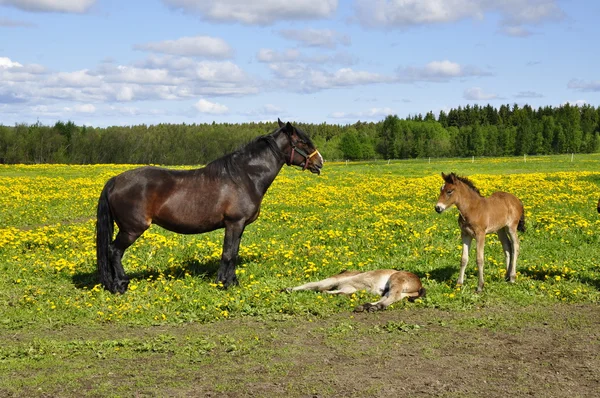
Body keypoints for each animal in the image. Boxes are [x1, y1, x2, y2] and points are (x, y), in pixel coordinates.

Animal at [97, 118, 324, 292]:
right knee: (114, 251)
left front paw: (231, 281)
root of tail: (115, 180)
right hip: (132, 229)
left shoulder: (238, 226)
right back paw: (120, 285)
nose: (320, 162)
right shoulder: (234, 223)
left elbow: (233, 253)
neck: (244, 176)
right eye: (303, 142)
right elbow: (228, 253)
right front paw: (224, 283)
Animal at [288, 268, 424, 312]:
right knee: (388, 297)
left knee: (392, 296)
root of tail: (419, 284)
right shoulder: (348, 287)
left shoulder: (333, 280)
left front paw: (288, 289)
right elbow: (337, 292)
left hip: (396, 280)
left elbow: (314, 285)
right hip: (401, 292)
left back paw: (372, 307)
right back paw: (367, 306)